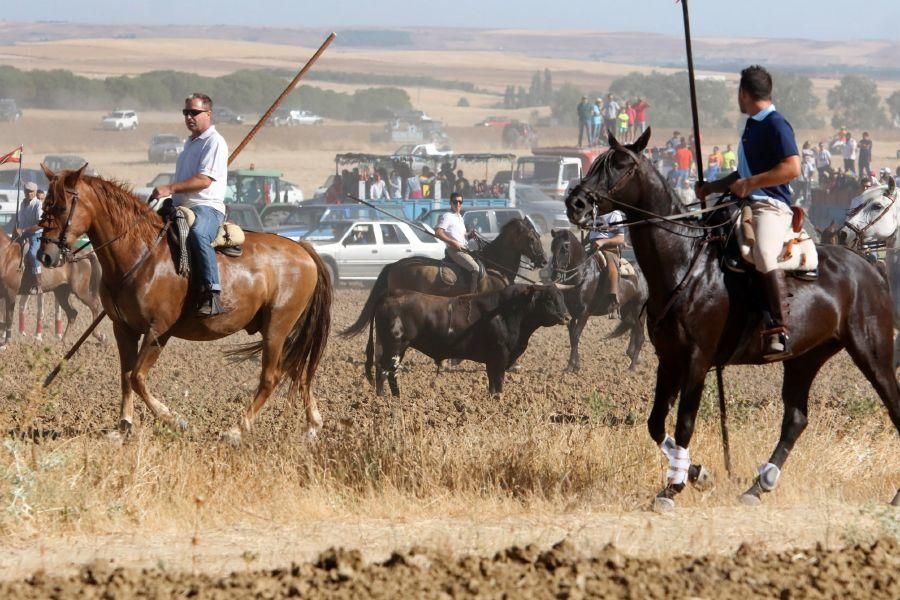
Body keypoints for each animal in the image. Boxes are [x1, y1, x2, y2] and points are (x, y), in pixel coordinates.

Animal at [38, 166, 332, 442]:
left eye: (62, 207)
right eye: (44, 206)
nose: (46, 255)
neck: (142, 254)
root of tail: (303, 249)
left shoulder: (159, 330)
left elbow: (137, 378)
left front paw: (173, 418)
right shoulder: (123, 328)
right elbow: (125, 375)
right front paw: (123, 427)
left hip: (277, 328)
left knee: (271, 377)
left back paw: (236, 430)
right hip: (278, 330)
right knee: (297, 369)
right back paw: (313, 426)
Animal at [368, 284, 568, 396]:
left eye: (561, 298)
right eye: (549, 299)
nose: (566, 316)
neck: (509, 311)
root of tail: (392, 293)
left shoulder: (491, 361)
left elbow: (492, 386)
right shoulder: (499, 357)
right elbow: (498, 384)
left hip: (397, 348)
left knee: (390, 373)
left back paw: (396, 397)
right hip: (394, 346)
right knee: (384, 373)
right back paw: (383, 399)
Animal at [548, 229, 648, 370]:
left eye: (565, 249)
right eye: (552, 247)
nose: (554, 275)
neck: (582, 275)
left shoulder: (584, 313)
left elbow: (576, 336)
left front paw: (571, 366)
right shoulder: (572, 314)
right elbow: (572, 337)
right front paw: (576, 365)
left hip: (639, 307)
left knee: (640, 336)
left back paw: (632, 367)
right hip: (627, 308)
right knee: (633, 326)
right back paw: (632, 355)